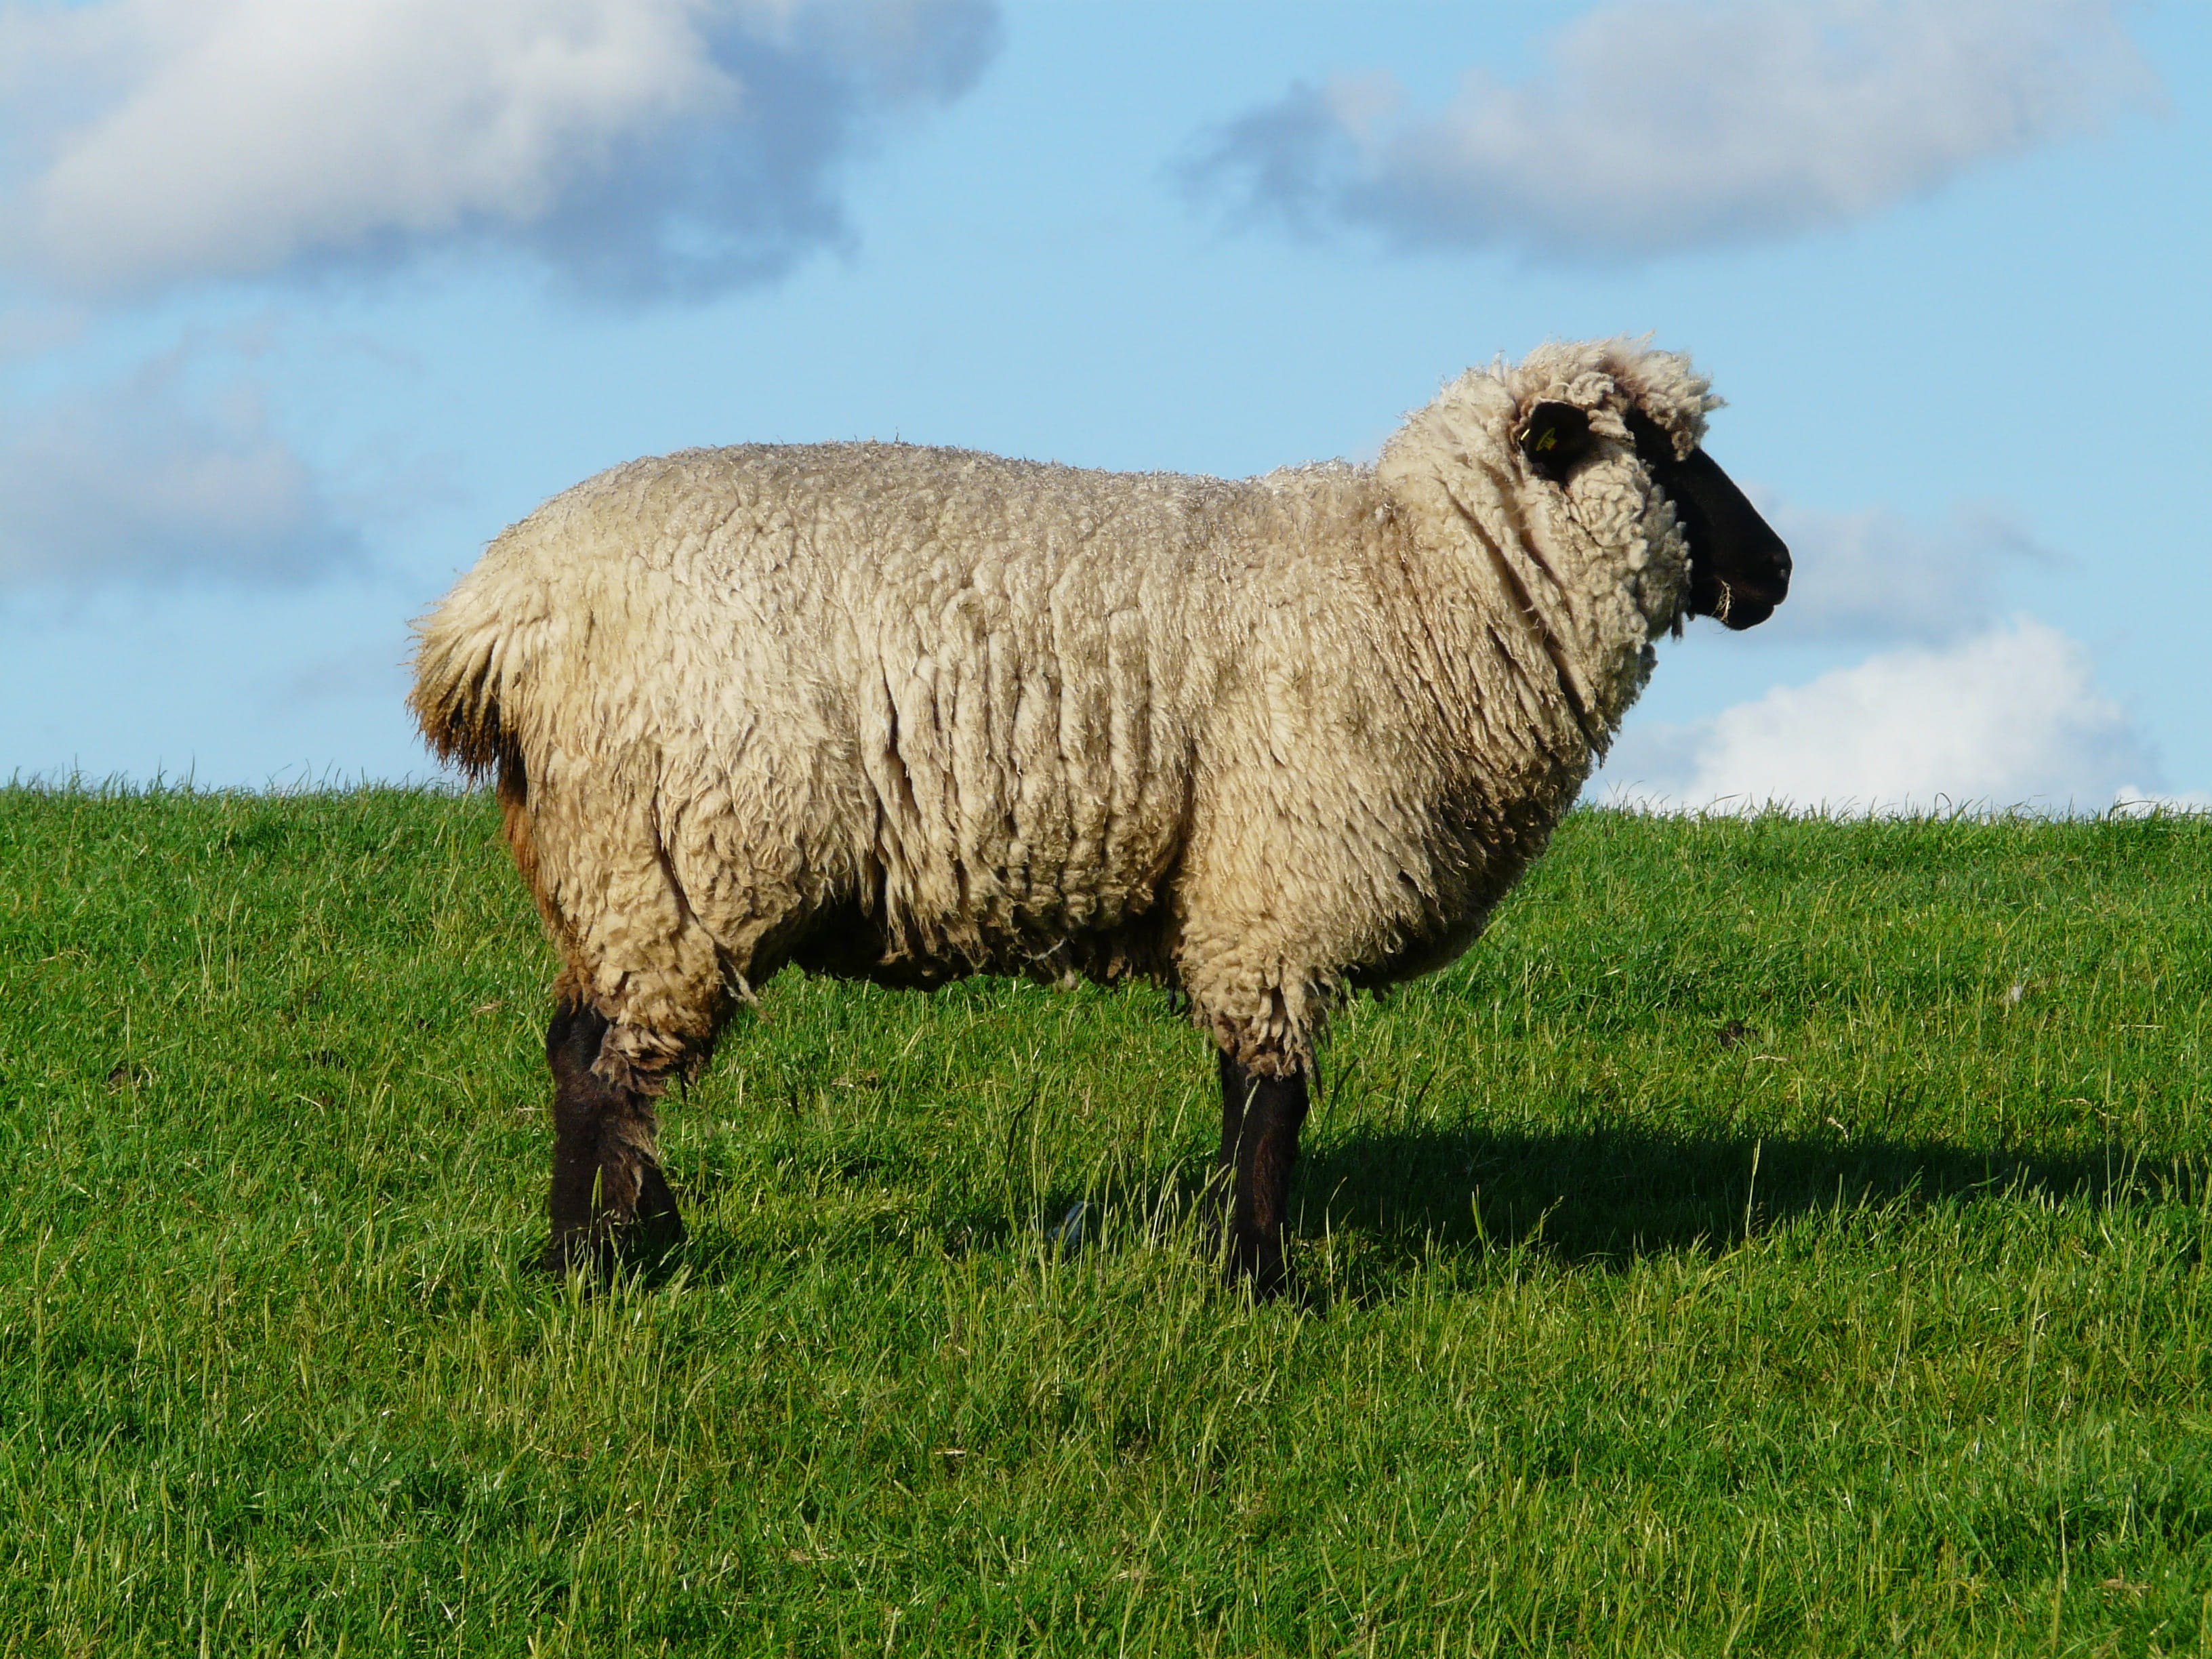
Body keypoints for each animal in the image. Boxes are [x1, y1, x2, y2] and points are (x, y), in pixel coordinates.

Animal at [410, 336, 1790, 1295]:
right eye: (1654, 448)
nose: (1775, 571)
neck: (1418, 580)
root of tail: (493, 611)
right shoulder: (1274, 884)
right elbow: (1273, 1098)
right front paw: (1262, 1284)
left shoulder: (1237, 896)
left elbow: (1243, 1091)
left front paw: (1240, 1261)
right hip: (689, 851)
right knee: (603, 1068)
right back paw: (604, 1264)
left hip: (604, 863)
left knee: (574, 1048)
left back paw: (600, 1244)